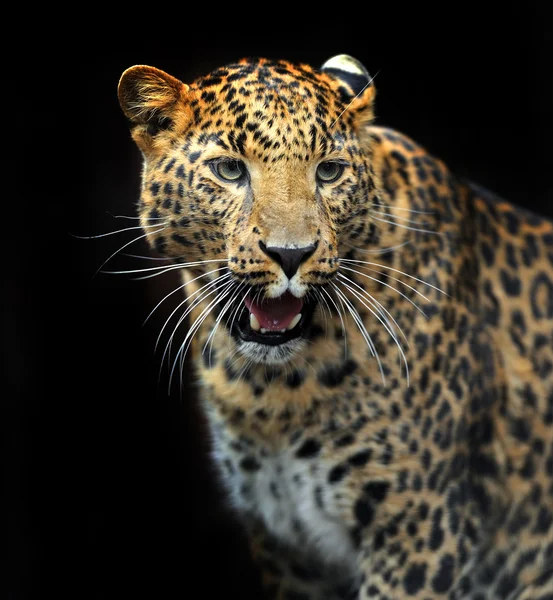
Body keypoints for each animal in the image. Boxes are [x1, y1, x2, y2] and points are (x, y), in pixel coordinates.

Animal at [116, 54, 552, 596]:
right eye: (229, 169)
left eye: (328, 171)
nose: (291, 254)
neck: (271, 393)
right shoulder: (289, 549)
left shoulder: (419, 529)